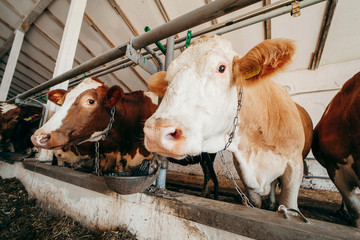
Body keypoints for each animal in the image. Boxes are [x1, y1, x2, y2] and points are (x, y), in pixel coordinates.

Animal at [143, 35, 306, 210]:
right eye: (168, 79)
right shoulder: (246, 177)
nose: (156, 132)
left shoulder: (295, 167)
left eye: (222, 68)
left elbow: (289, 206)